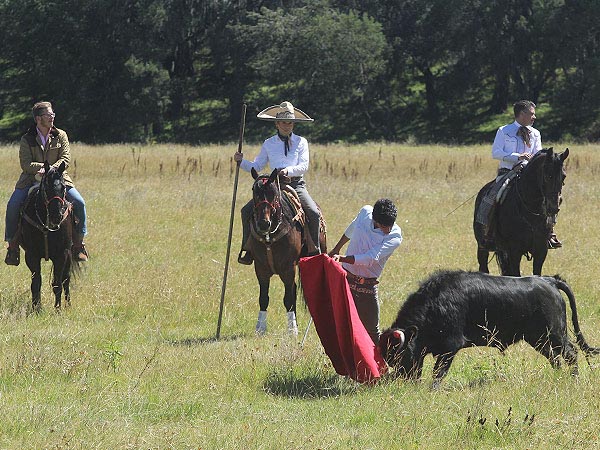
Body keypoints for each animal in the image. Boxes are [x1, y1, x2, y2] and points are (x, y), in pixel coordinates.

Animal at [20, 160, 77, 312]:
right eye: (47, 187)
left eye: (63, 187)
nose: (57, 216)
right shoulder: (31, 255)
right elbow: (36, 283)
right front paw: (36, 309)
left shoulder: (62, 254)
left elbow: (57, 283)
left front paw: (58, 309)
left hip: (69, 255)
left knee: (66, 279)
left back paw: (68, 305)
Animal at [246, 168, 326, 334]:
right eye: (254, 191)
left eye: (273, 193)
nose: (263, 223)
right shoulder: (261, 269)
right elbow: (263, 298)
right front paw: (260, 328)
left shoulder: (288, 269)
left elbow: (288, 298)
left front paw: (292, 330)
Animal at [380, 270, 600, 386]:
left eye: (401, 354)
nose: (403, 380)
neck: (435, 303)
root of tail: (548, 280)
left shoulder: (449, 347)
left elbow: (438, 373)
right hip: (538, 339)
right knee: (555, 357)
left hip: (555, 333)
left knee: (570, 353)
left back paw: (573, 379)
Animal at [474, 148, 568, 276]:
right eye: (548, 175)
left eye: (564, 176)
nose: (553, 207)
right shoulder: (514, 252)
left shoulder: (541, 252)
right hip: (482, 247)